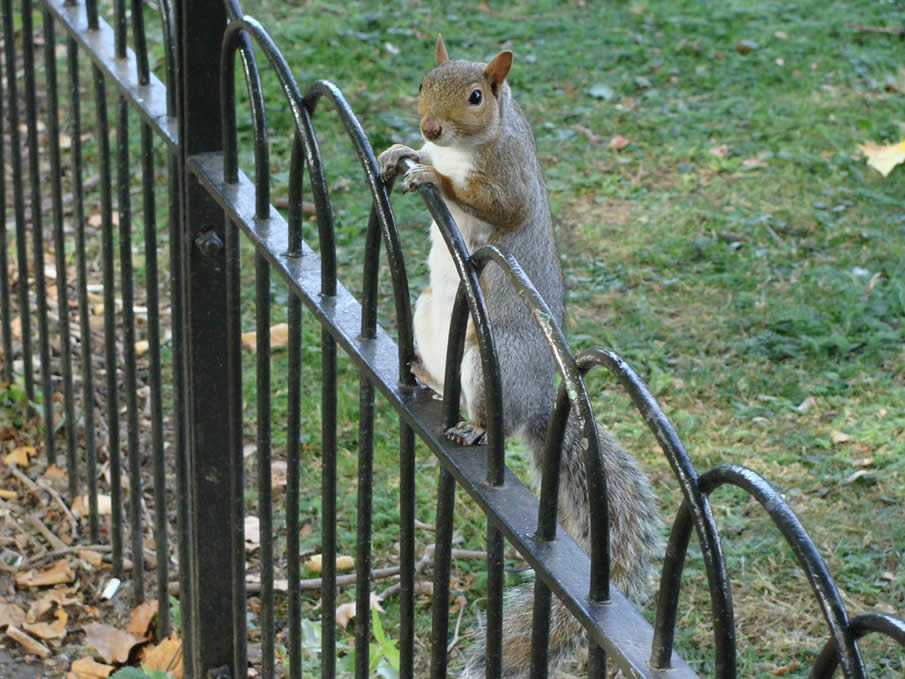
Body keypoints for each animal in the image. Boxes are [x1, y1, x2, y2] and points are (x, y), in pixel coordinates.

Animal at [378, 37, 660, 679]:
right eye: (424, 82)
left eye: (476, 97)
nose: (428, 127)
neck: (465, 145)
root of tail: (535, 404)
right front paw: (401, 151)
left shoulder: (509, 175)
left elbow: (500, 207)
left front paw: (429, 171)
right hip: (431, 310)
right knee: (444, 376)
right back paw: (425, 375)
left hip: (493, 358)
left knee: (491, 416)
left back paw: (475, 429)